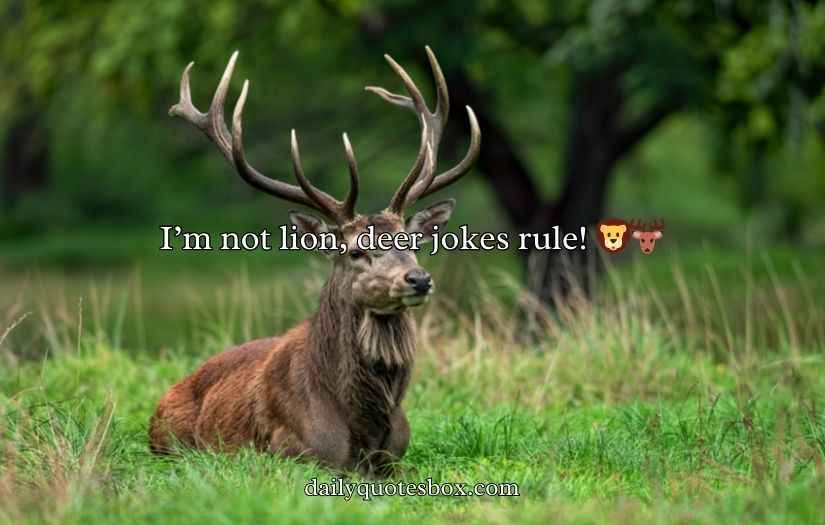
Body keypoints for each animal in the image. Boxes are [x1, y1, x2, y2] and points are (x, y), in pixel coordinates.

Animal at [148, 47, 480, 476]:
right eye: (355, 250)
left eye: (412, 243)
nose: (418, 279)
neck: (365, 425)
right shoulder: (293, 452)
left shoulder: (396, 457)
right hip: (169, 442)